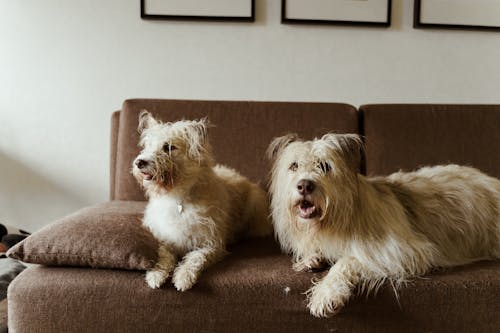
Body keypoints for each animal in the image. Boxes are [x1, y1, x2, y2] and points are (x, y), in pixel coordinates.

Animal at [133, 110, 272, 290]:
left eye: (169, 147)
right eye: (147, 146)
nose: (139, 162)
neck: (178, 197)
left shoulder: (212, 245)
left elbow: (195, 257)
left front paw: (183, 277)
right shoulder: (167, 239)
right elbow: (164, 255)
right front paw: (156, 274)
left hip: (255, 205)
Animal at [268, 132, 500, 316]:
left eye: (325, 166)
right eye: (294, 166)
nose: (304, 185)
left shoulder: (402, 250)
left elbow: (349, 260)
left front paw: (326, 293)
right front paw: (312, 259)